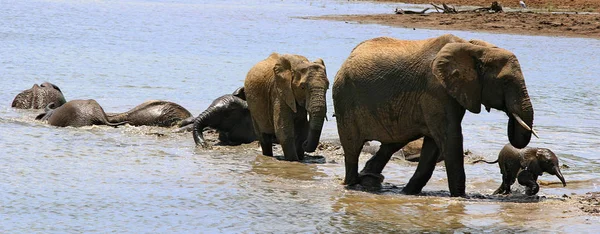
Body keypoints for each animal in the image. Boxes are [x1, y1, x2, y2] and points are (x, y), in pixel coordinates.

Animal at [336, 33, 536, 197]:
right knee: (352, 147)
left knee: (393, 142)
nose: (510, 114)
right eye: (506, 81)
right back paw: (353, 184)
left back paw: (368, 179)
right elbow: (450, 138)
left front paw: (408, 192)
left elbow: (434, 145)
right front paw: (461, 197)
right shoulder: (436, 91)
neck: (475, 48)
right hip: (345, 98)